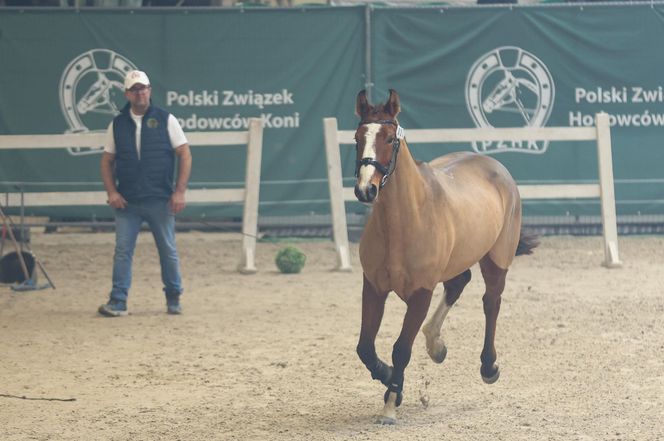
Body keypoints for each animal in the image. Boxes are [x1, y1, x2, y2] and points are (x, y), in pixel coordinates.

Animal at [356, 88, 536, 422]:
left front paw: (391, 403)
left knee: (491, 302)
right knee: (458, 283)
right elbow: (365, 348)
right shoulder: (373, 287)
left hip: (496, 259)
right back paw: (435, 344)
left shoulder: (421, 294)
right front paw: (389, 379)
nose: (365, 190)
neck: (405, 221)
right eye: (357, 137)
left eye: (389, 138)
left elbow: (401, 348)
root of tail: (494, 164)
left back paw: (488, 366)